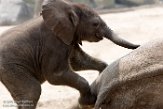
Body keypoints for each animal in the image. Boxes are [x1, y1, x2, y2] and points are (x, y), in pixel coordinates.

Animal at [0, 0, 139, 109]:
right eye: (95, 24)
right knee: (32, 91)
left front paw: (102, 75)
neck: (69, 7)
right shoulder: (53, 42)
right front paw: (87, 103)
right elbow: (55, 75)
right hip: (11, 67)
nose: (139, 45)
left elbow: (78, 62)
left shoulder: (69, 36)